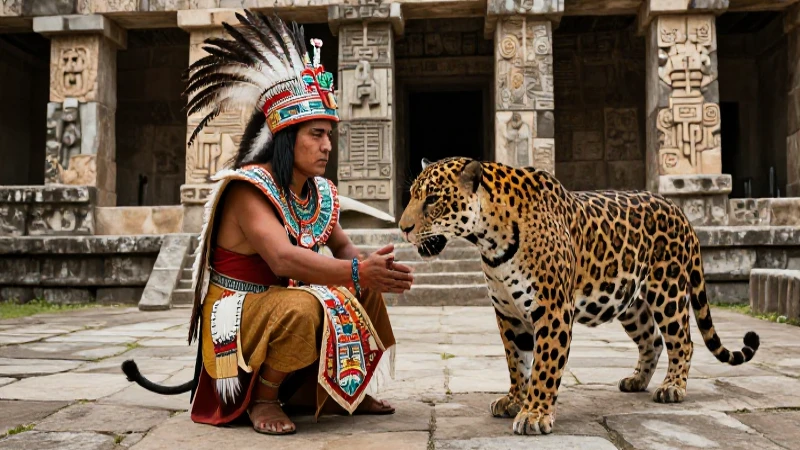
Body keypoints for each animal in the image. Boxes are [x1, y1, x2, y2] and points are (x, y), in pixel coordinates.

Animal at [397, 157, 760, 436]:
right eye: (413, 196)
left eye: (433, 199)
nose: (402, 228)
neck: (489, 240)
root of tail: (679, 209)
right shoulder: (508, 313)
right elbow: (517, 362)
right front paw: (515, 400)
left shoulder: (552, 309)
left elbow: (544, 366)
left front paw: (534, 415)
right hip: (629, 301)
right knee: (652, 340)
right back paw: (636, 381)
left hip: (666, 289)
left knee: (682, 341)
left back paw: (672, 387)